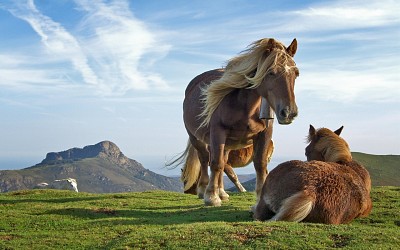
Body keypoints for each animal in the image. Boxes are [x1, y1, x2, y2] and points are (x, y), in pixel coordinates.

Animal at [167, 37, 298, 205]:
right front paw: (211, 197)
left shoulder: (265, 133)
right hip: (196, 137)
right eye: (271, 72)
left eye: (296, 73)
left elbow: (260, 165)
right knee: (205, 159)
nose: (289, 113)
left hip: (228, 144)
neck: (245, 106)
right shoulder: (218, 133)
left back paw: (222, 192)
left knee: (222, 162)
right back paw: (204, 190)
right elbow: (216, 164)